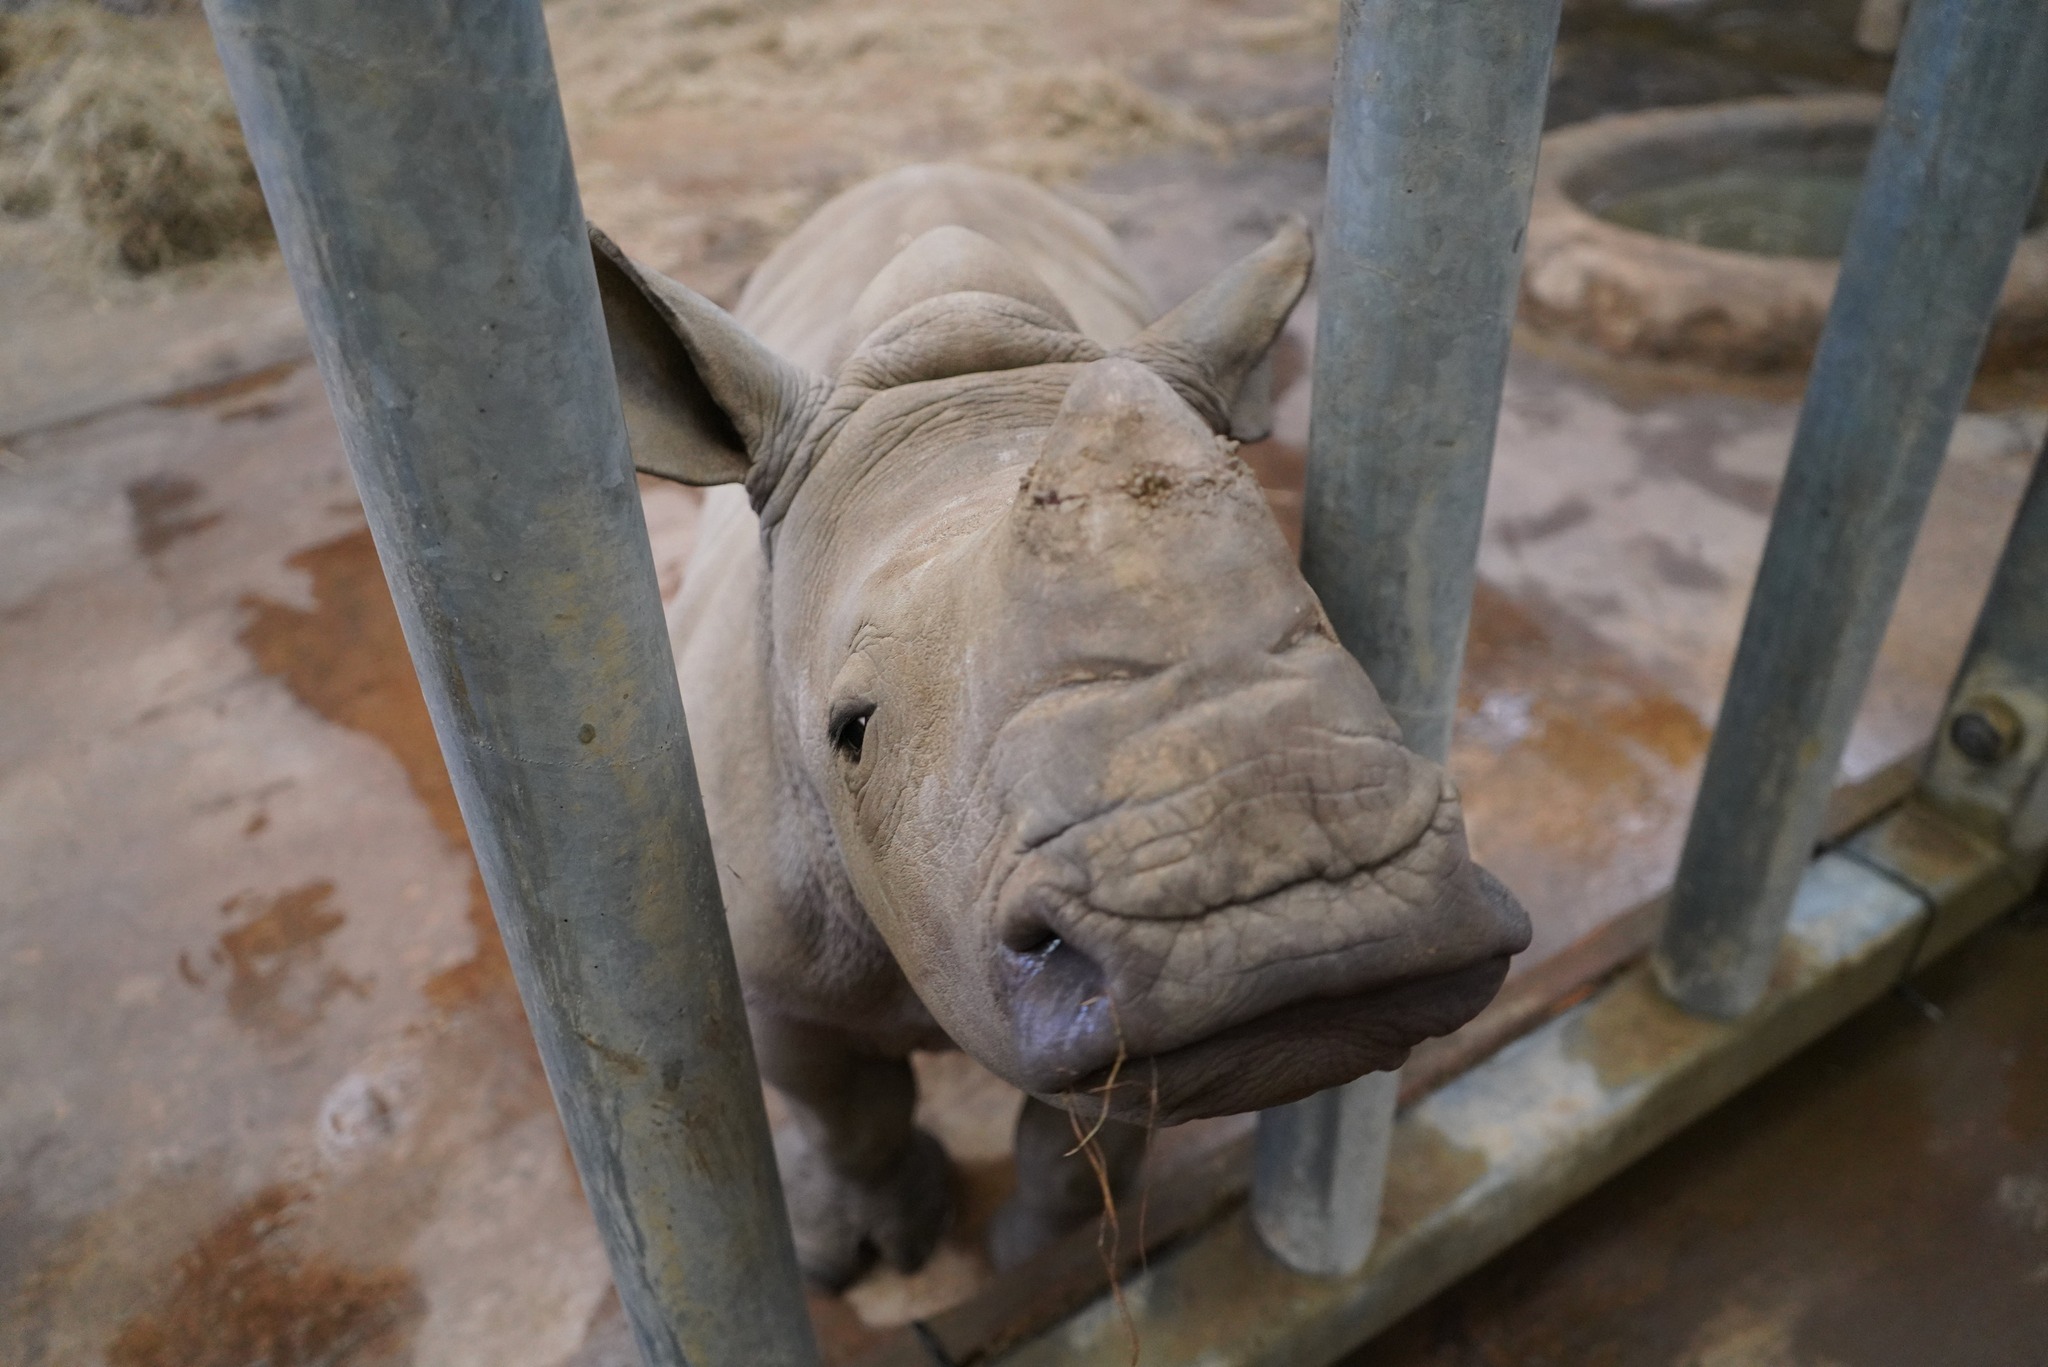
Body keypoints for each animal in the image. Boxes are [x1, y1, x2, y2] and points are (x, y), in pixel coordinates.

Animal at [589, 164, 1529, 1287]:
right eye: (846, 730)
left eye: (1320, 619)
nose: (1291, 922)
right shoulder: (782, 979)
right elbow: (850, 1112)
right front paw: (870, 1251)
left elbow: (1078, 1140)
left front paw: (1039, 1263)